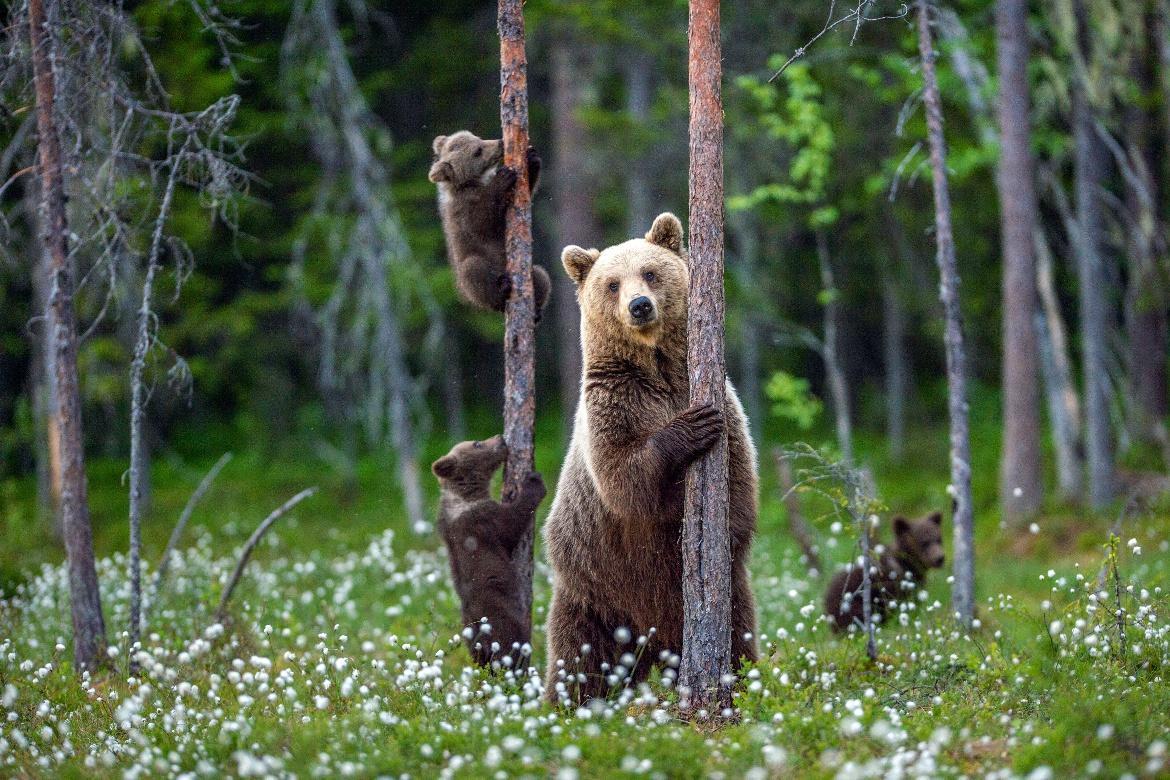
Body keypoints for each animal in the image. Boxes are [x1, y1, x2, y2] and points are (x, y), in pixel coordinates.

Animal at [430, 129, 552, 318]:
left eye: (478, 138)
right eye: (477, 151)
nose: (500, 142)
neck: (473, 183)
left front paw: (531, 158)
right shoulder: (464, 211)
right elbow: (482, 223)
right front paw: (503, 177)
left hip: (531, 272)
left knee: (541, 275)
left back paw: (537, 310)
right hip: (470, 278)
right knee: (474, 270)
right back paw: (502, 291)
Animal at [432, 437, 545, 668]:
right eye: (477, 443)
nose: (501, 439)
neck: (466, 495)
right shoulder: (483, 522)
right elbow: (512, 524)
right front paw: (533, 481)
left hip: (469, 636)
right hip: (500, 616)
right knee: (511, 644)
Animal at [538, 215, 758, 706]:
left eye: (651, 272)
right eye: (612, 284)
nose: (639, 305)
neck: (656, 368)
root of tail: (654, 643)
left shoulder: (723, 402)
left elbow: (739, 482)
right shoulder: (613, 405)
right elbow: (625, 479)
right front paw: (691, 428)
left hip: (722, 600)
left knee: (739, 636)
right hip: (594, 591)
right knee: (579, 660)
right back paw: (566, 707)